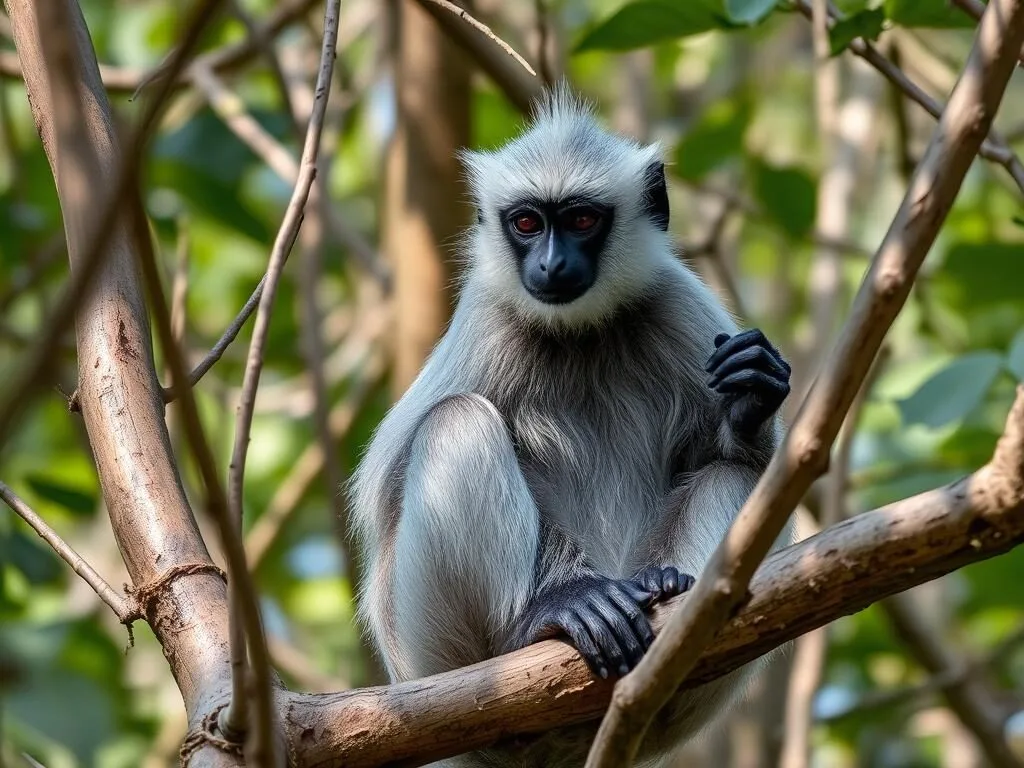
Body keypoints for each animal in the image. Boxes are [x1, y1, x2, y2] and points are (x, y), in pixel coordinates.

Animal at [348, 84, 793, 767]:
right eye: (528, 224)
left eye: (581, 221)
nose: (552, 265)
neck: (581, 336)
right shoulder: (489, 317)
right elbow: (382, 489)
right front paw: (574, 597)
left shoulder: (673, 301)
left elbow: (747, 464)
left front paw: (749, 400)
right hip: (431, 653)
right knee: (455, 419)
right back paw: (538, 623)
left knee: (730, 474)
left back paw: (669, 596)